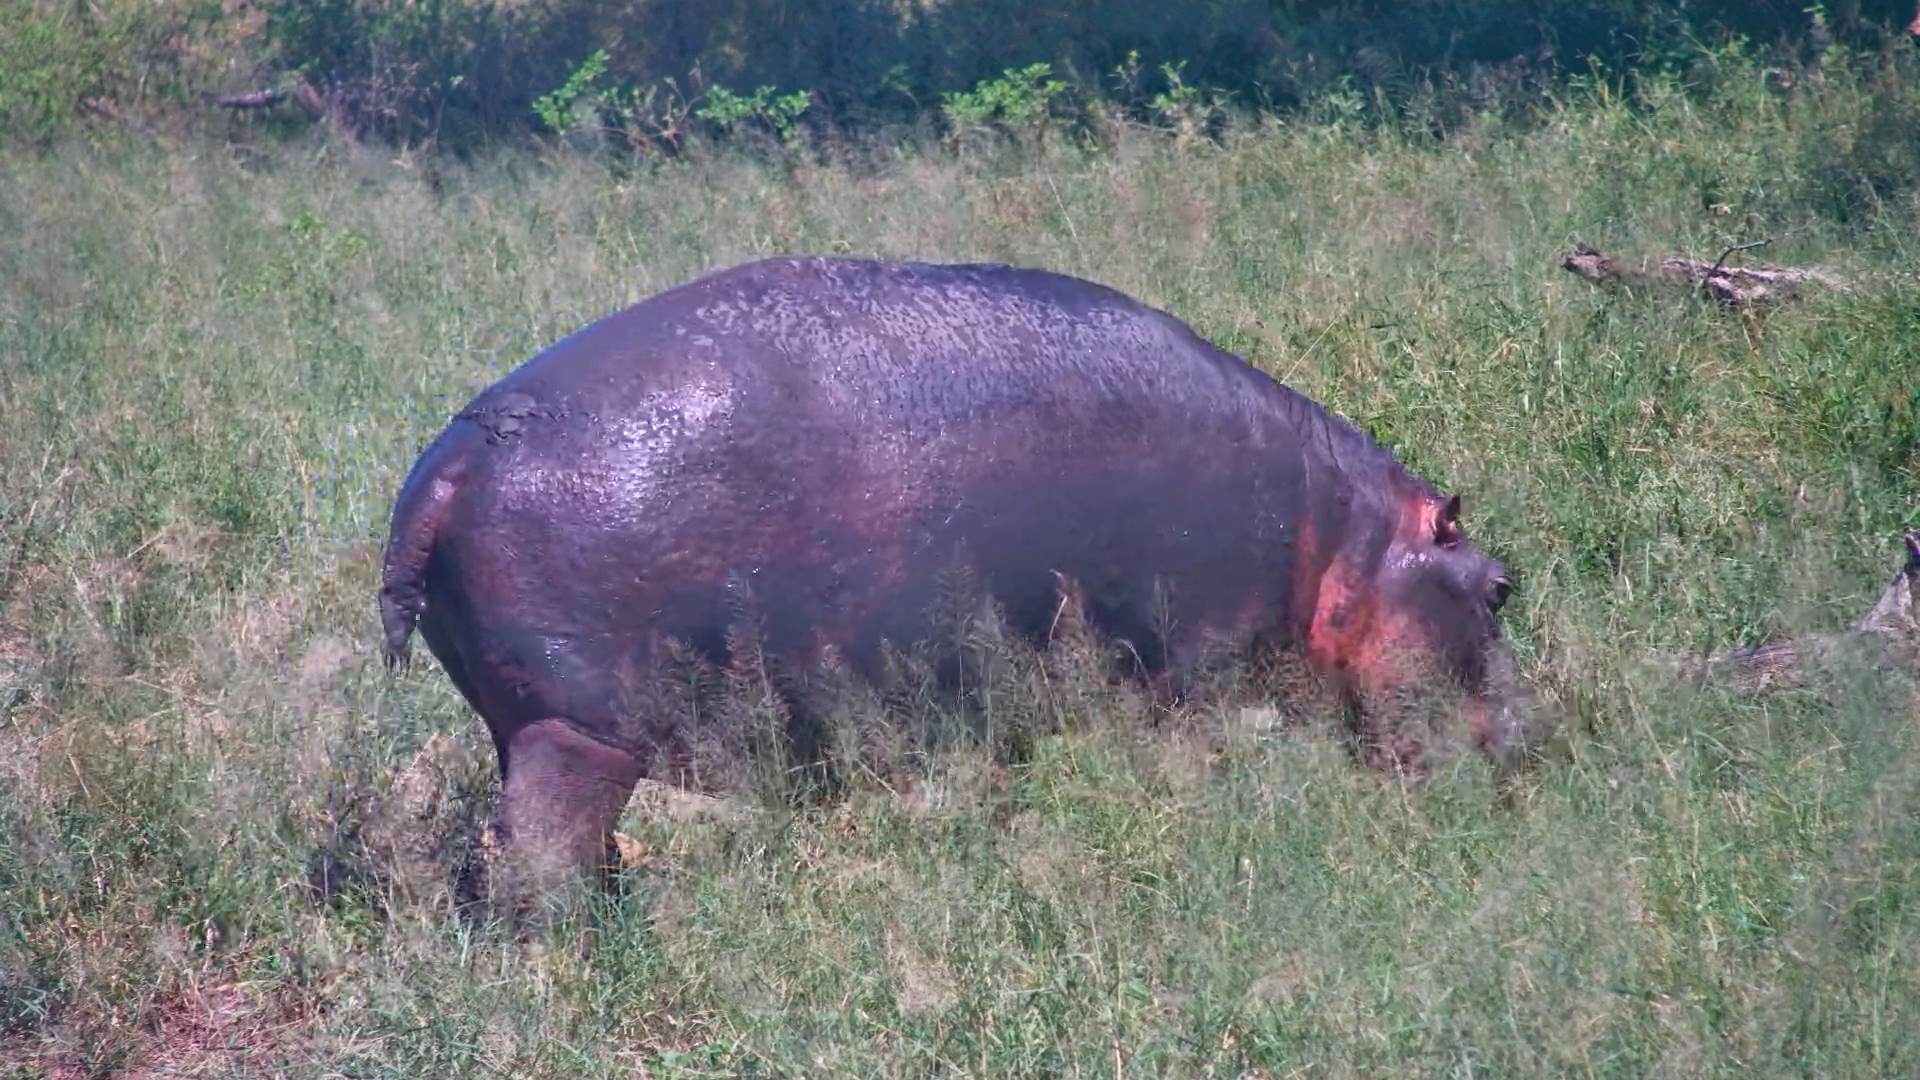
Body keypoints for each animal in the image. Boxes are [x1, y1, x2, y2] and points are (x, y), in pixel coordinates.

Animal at [380, 256, 1522, 894]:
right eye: (1501, 585)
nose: (1529, 744)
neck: (1346, 538)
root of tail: (454, 460)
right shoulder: (1196, 660)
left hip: (525, 719)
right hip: (579, 732)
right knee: (538, 863)